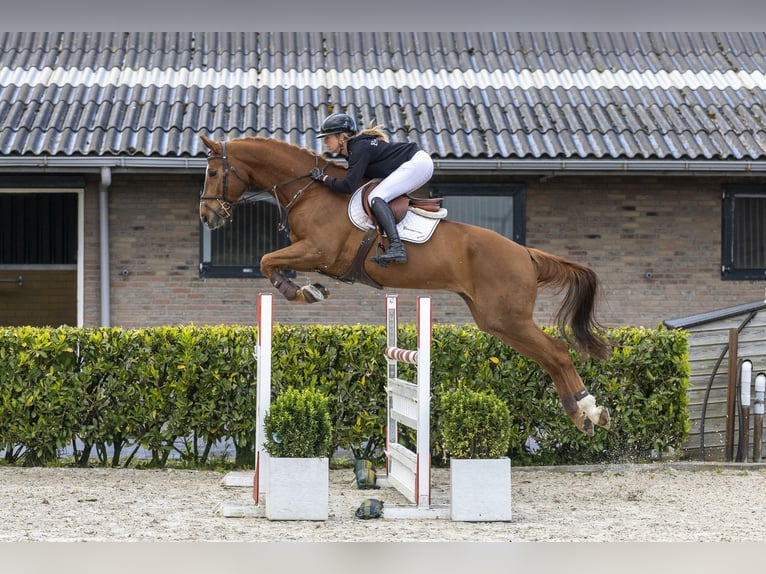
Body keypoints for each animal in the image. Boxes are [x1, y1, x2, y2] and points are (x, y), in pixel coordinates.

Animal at [198, 134, 611, 436]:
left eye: (214, 173)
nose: (207, 216)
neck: (310, 192)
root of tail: (525, 253)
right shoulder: (309, 252)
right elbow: (270, 261)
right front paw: (307, 290)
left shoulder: (318, 251)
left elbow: (267, 261)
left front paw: (302, 292)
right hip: (496, 320)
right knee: (549, 357)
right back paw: (582, 413)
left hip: (508, 318)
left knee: (557, 352)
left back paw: (589, 411)